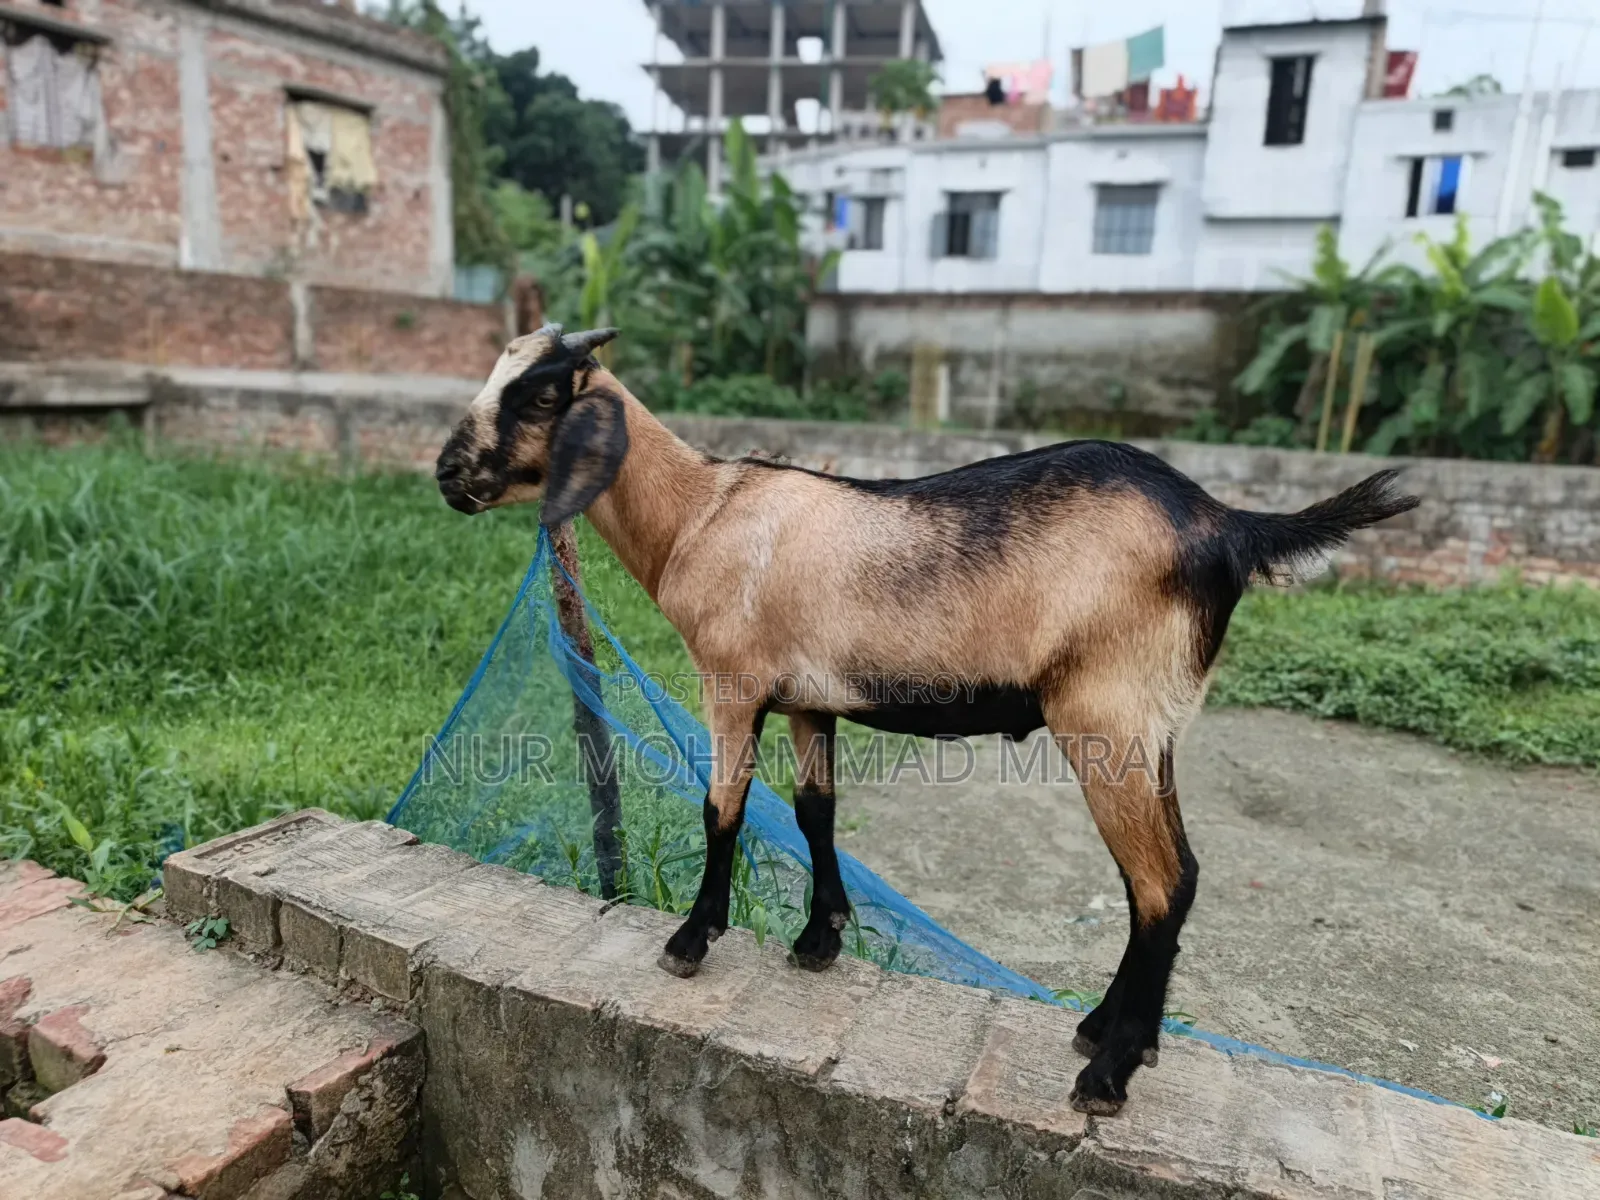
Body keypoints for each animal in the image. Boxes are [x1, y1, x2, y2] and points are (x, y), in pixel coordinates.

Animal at [434, 325, 1420, 1114]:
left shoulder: (734, 682)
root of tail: (1228, 523)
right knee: (1171, 874)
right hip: (1152, 725)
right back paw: (1108, 1035)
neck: (701, 516)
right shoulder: (808, 698)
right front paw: (819, 940)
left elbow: (724, 809)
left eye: (538, 394)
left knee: (1159, 881)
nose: (446, 475)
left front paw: (690, 941)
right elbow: (815, 813)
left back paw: (1105, 1077)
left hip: (1109, 715)